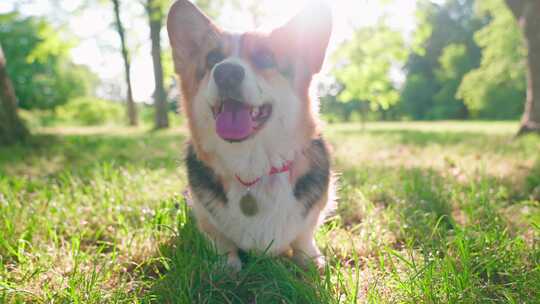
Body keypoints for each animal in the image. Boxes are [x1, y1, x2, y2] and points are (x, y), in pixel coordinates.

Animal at [168, 0, 334, 270]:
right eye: (213, 58)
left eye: (266, 58)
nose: (226, 72)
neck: (252, 168)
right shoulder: (206, 217)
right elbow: (221, 241)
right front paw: (227, 267)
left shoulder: (312, 215)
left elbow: (304, 237)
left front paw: (312, 261)